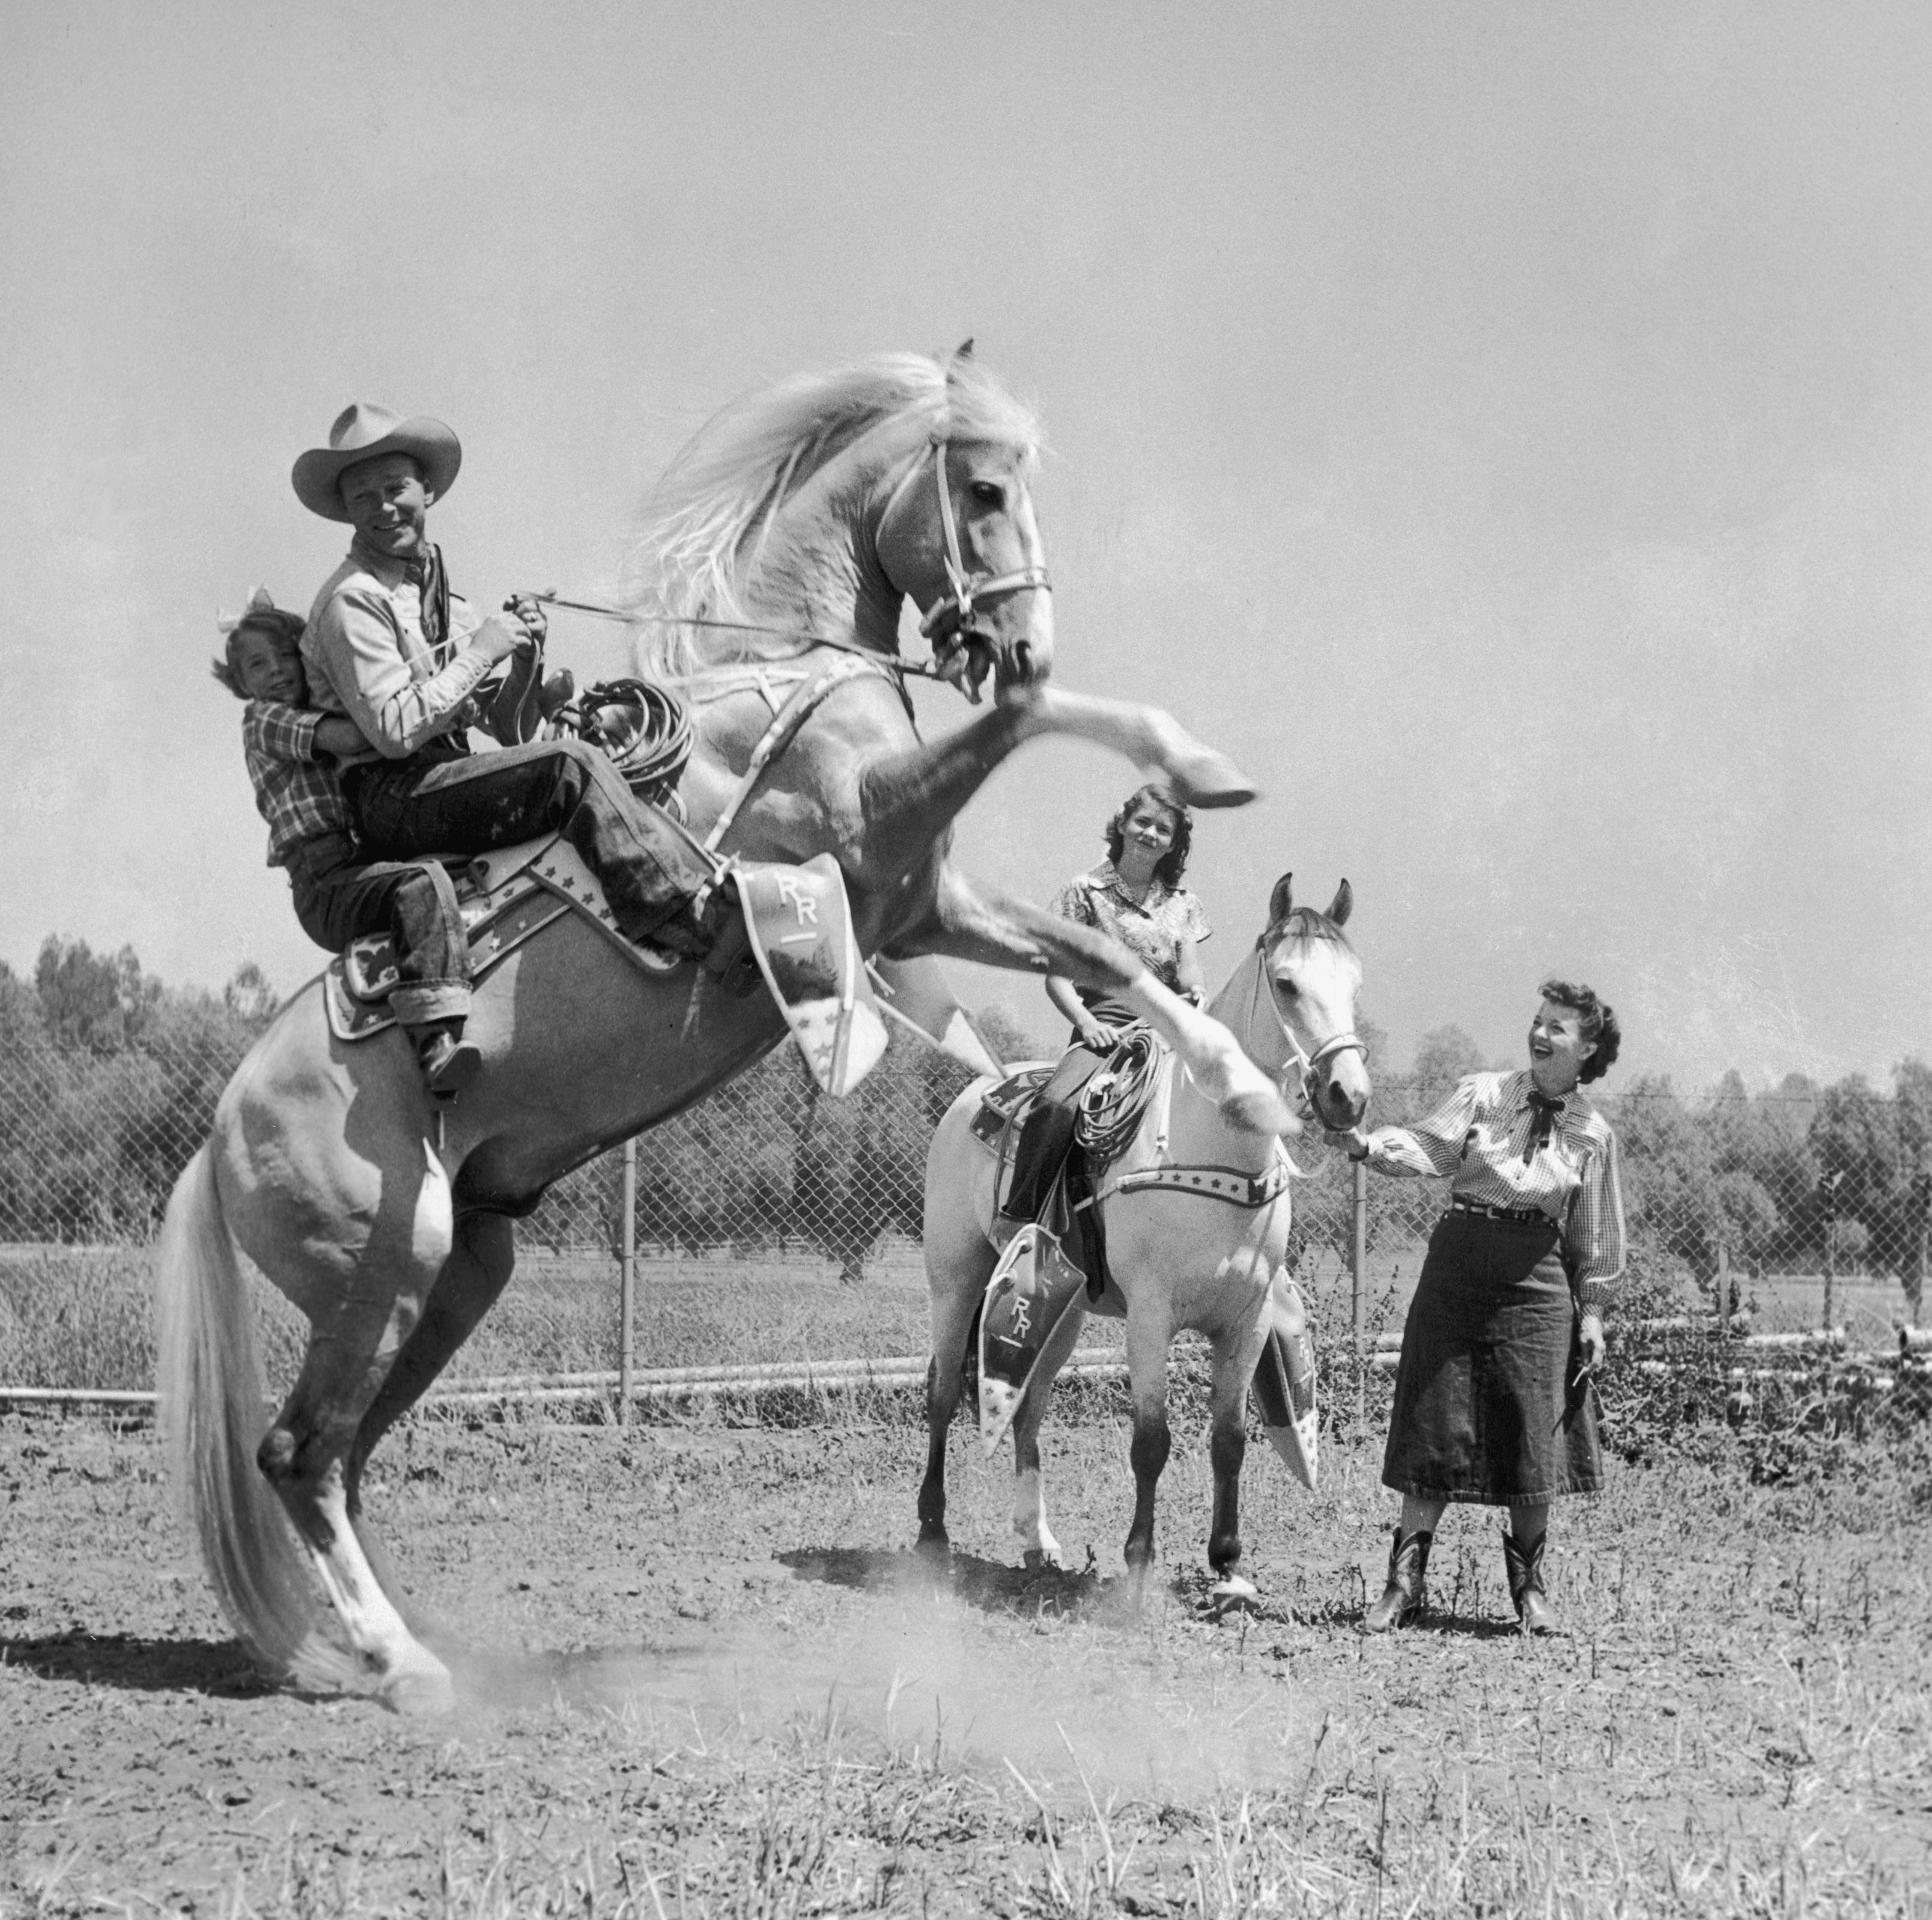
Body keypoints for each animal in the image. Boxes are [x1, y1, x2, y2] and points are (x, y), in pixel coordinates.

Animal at [156, 348, 1298, 1711]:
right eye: (981, 489)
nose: (1019, 639)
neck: (779, 681)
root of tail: (216, 1142)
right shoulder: (871, 843)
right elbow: (1030, 726)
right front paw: (1197, 760)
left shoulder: (921, 902)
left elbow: (1104, 952)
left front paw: (1248, 1084)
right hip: (383, 1261)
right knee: (298, 1451)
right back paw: (404, 1661)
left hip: (456, 1274)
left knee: (350, 1453)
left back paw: (407, 1638)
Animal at [916, 875, 1370, 1602]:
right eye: (1287, 982)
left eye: (1354, 982)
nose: (1346, 1095)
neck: (1209, 1146)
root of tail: (974, 1096)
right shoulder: (1152, 1317)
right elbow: (1152, 1441)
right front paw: (1138, 1565)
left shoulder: (1248, 1317)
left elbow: (1230, 1438)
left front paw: (1228, 1565)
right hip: (955, 1279)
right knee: (940, 1393)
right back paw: (932, 1531)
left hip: (1064, 1306)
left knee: (1028, 1407)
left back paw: (1037, 1542)